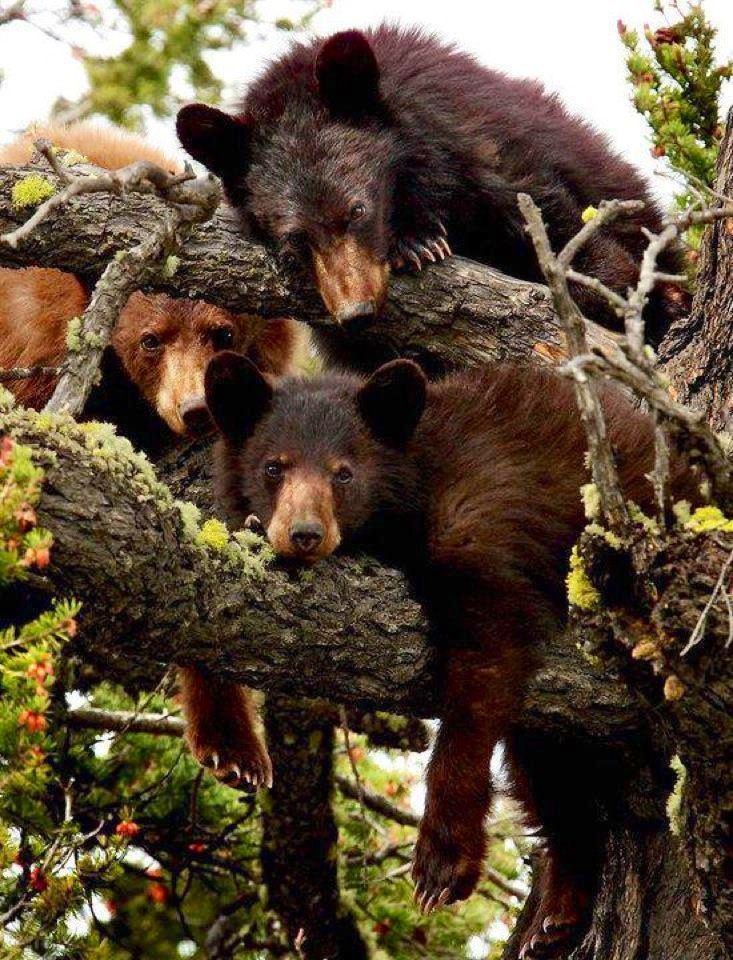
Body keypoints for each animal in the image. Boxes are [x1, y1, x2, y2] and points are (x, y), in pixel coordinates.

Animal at [202, 354, 696, 960]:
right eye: (274, 467)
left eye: (344, 473)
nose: (304, 534)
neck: (411, 490)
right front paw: (228, 743)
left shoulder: (477, 519)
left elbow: (483, 661)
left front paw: (443, 860)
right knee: (548, 771)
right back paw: (558, 912)